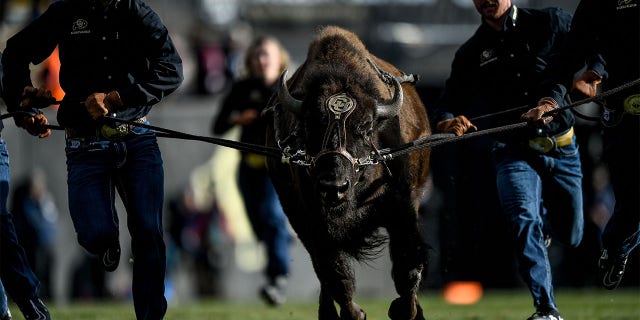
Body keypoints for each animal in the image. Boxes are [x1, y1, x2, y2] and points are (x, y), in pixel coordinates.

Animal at [262, 26, 432, 320]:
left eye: (365, 127)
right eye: (309, 125)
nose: (334, 186)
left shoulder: (403, 206)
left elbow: (408, 264)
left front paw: (404, 309)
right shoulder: (310, 219)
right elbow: (334, 273)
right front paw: (356, 313)